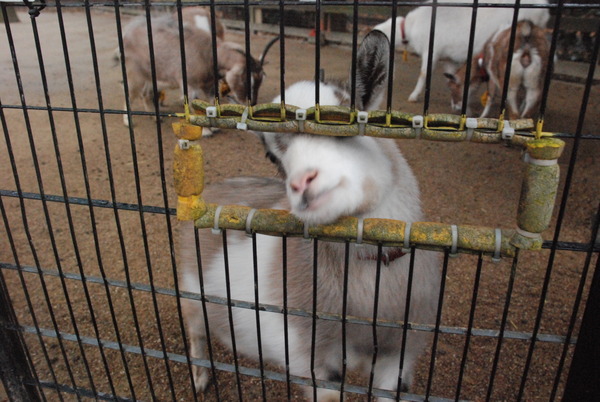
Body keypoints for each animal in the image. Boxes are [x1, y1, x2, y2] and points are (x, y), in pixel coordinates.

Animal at [178, 30, 440, 398]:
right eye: (272, 156)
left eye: (346, 118)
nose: (302, 183)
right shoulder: (312, 363)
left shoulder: (399, 360)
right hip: (191, 296)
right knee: (196, 332)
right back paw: (201, 378)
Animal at [376, 0, 548, 102]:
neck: (409, 28)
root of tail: (543, 11)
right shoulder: (449, 58)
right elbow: (451, 76)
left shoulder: (431, 51)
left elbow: (424, 74)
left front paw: (413, 95)